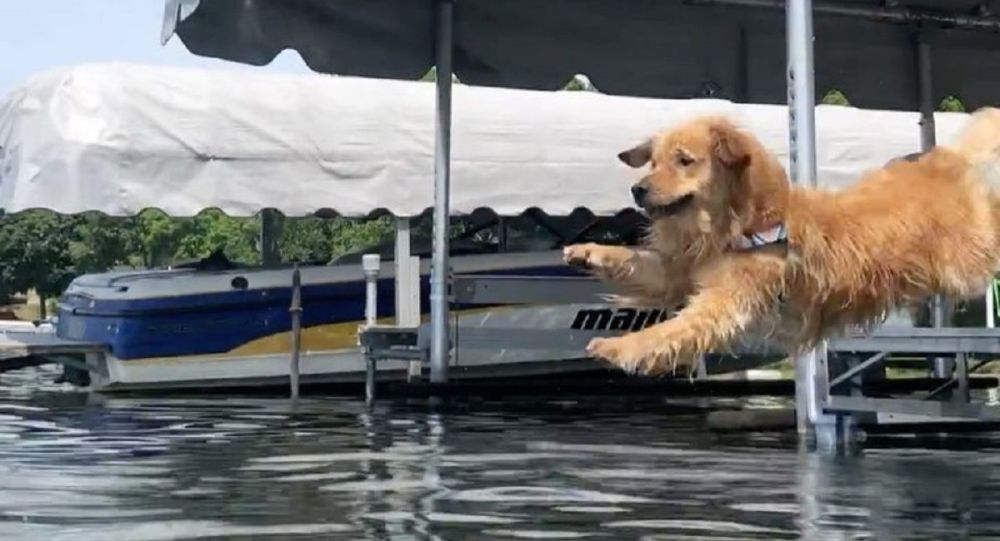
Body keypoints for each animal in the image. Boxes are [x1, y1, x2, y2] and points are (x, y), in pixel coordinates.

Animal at [564, 106, 1000, 376]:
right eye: (653, 161)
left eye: (684, 160)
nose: (637, 189)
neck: (740, 224)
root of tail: (948, 160)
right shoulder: (683, 274)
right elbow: (642, 263)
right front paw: (588, 252)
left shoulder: (725, 302)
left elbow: (670, 331)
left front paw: (618, 348)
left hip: (970, 257)